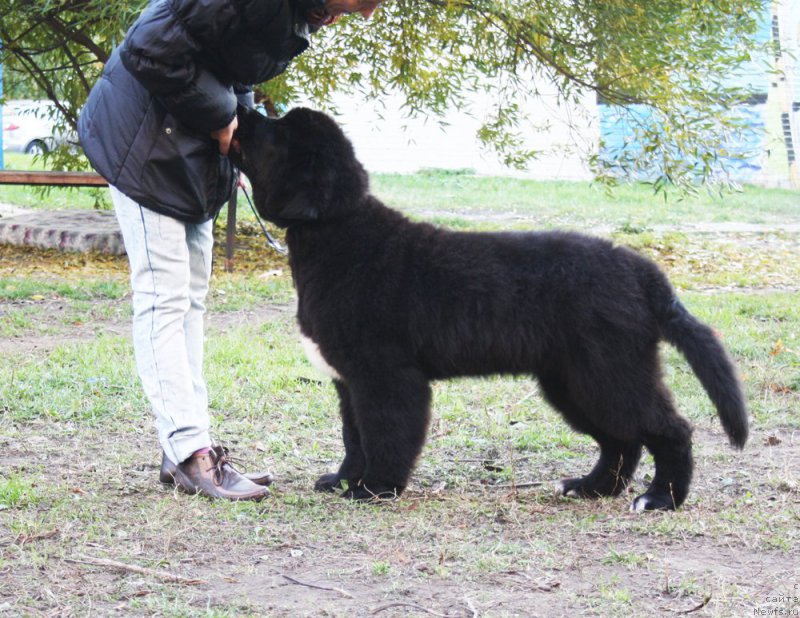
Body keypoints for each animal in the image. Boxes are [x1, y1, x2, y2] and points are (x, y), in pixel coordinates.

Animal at [228, 106, 748, 510]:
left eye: (277, 134)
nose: (243, 112)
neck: (339, 235)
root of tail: (642, 272)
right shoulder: (349, 381)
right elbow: (353, 436)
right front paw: (342, 480)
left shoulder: (385, 376)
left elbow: (384, 434)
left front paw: (375, 488)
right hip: (573, 381)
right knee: (621, 441)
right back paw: (590, 487)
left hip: (609, 374)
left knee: (668, 430)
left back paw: (661, 498)